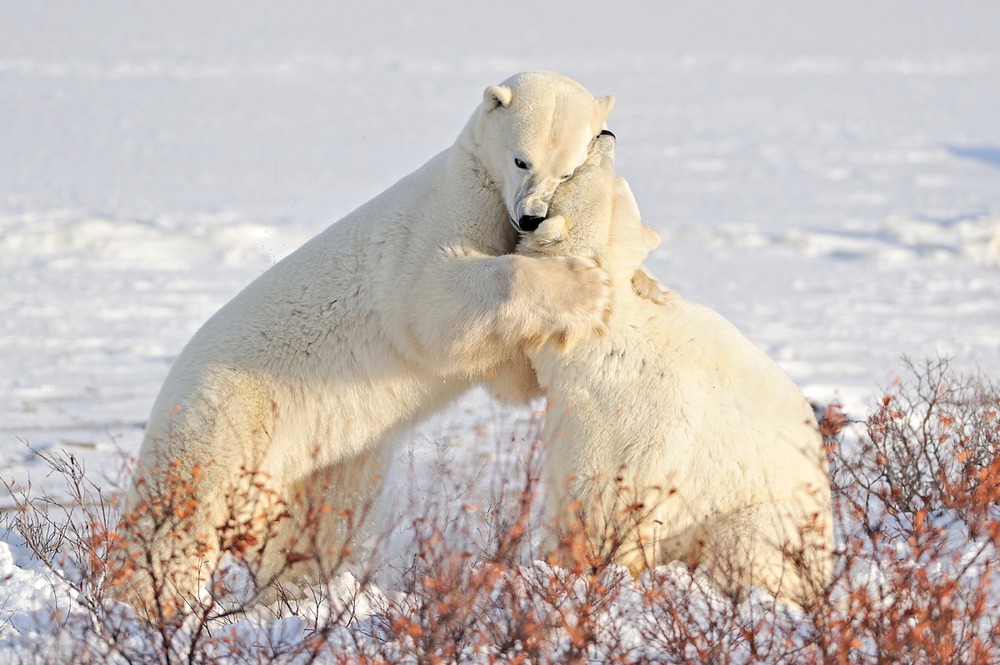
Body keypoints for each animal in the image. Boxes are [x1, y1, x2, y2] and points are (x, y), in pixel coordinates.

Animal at [117, 71, 616, 612]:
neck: (481, 181)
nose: (530, 218)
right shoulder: (442, 218)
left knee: (320, 518)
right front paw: (588, 285)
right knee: (185, 506)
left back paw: (299, 595)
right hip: (229, 409)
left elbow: (507, 372)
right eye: (522, 159)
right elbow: (435, 301)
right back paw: (142, 602)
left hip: (323, 452)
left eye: (567, 172)